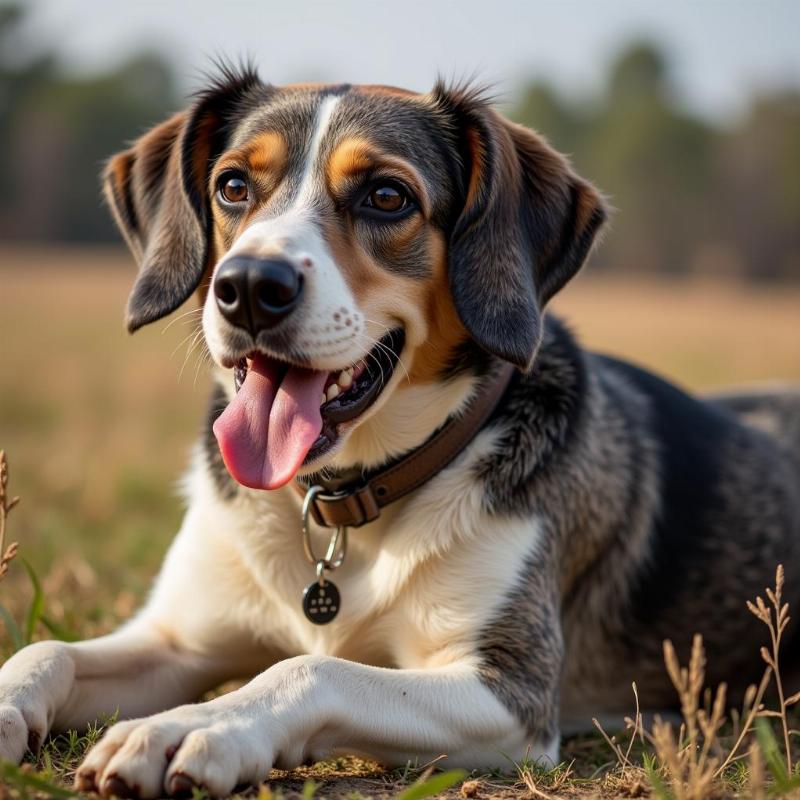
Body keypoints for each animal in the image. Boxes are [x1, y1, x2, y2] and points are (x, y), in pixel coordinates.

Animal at [1, 67, 800, 792]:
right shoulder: (175, 640)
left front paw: (193, 727)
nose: (249, 286)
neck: (343, 502)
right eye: (232, 186)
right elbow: (47, 652)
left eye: (387, 197)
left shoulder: (509, 691)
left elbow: (312, 668)